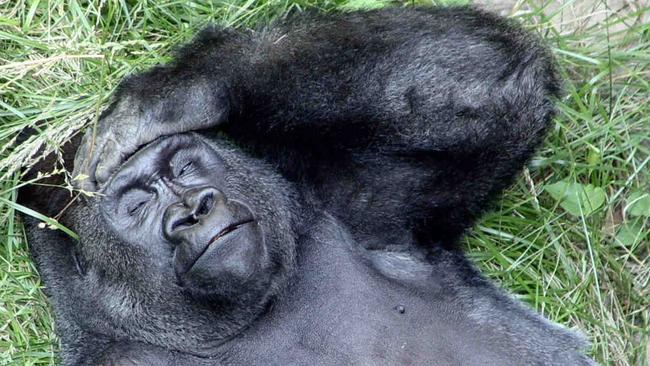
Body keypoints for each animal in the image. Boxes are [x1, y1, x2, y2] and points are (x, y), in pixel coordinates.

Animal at [17, 5, 596, 366]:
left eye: (183, 169)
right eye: (137, 206)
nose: (195, 211)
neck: (252, 317)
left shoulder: (348, 204)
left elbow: (491, 82)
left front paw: (177, 92)